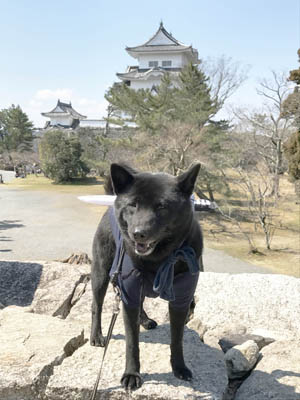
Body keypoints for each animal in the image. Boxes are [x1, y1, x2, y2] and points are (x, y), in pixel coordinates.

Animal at [90, 162, 203, 390]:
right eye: (133, 204)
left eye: (162, 206)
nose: (138, 233)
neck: (159, 259)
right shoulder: (128, 293)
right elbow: (132, 342)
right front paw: (131, 374)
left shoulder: (181, 301)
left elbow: (177, 339)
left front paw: (179, 367)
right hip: (101, 273)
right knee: (96, 305)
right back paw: (96, 336)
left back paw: (144, 320)